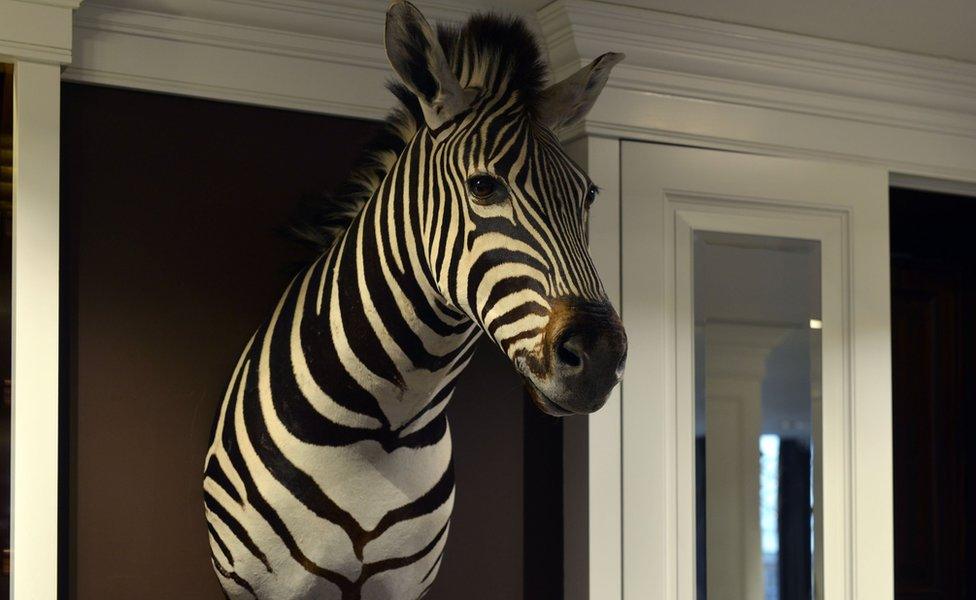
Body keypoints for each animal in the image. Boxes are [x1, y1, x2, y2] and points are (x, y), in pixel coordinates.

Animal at [205, 2, 628, 596]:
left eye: (588, 196)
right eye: (483, 187)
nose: (598, 357)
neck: (381, 428)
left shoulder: (409, 582)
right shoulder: (269, 585)